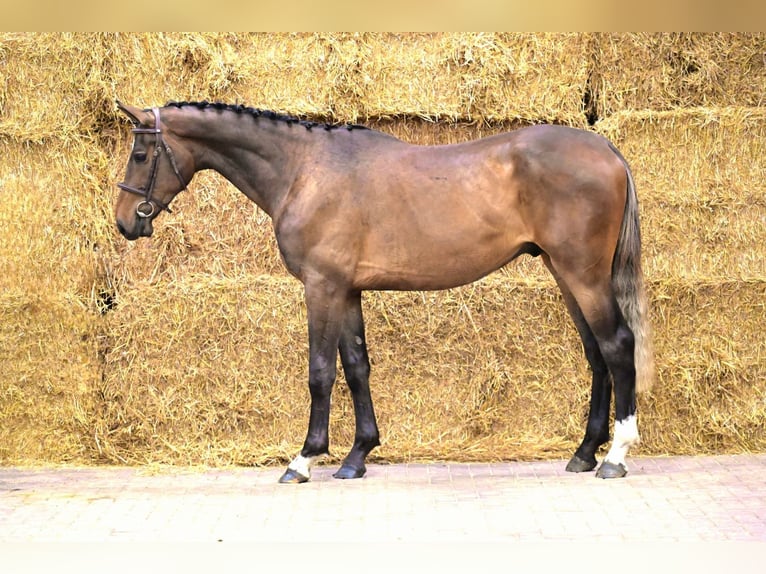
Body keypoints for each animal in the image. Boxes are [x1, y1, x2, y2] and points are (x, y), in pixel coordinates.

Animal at [114, 100, 654, 482]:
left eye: (140, 154)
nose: (124, 223)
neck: (305, 169)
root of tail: (606, 150)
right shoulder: (347, 290)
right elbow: (356, 367)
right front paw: (357, 456)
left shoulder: (322, 287)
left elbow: (320, 372)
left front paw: (304, 459)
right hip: (566, 274)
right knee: (596, 354)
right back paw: (584, 453)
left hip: (582, 275)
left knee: (617, 345)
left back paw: (616, 455)